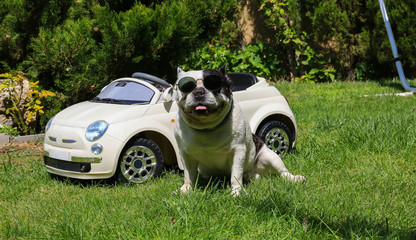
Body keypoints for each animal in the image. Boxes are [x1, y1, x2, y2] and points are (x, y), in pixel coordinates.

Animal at [173, 64, 306, 196]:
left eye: (214, 83)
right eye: (186, 86)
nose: (199, 91)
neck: (206, 127)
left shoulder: (238, 151)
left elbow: (236, 174)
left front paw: (237, 191)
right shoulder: (185, 155)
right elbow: (188, 175)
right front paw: (186, 189)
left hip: (270, 157)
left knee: (283, 172)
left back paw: (295, 178)